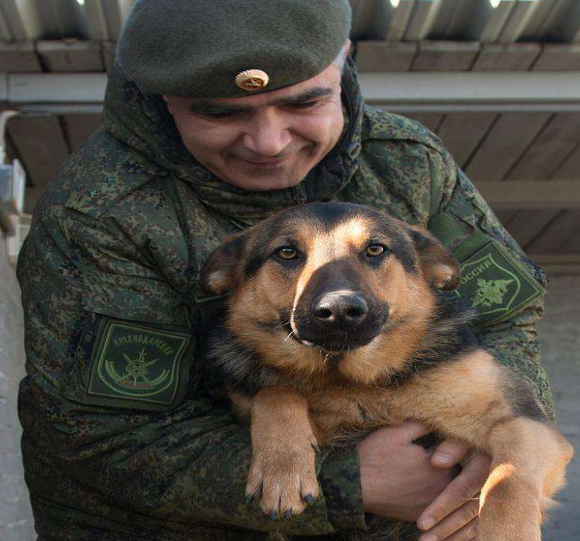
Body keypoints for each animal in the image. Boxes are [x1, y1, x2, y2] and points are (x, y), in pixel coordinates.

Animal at [198, 202, 572, 540]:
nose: (339, 310)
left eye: (375, 249)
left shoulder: (524, 423)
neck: (352, 381)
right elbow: (277, 392)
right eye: (287, 252)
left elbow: (507, 482)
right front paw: (281, 467)